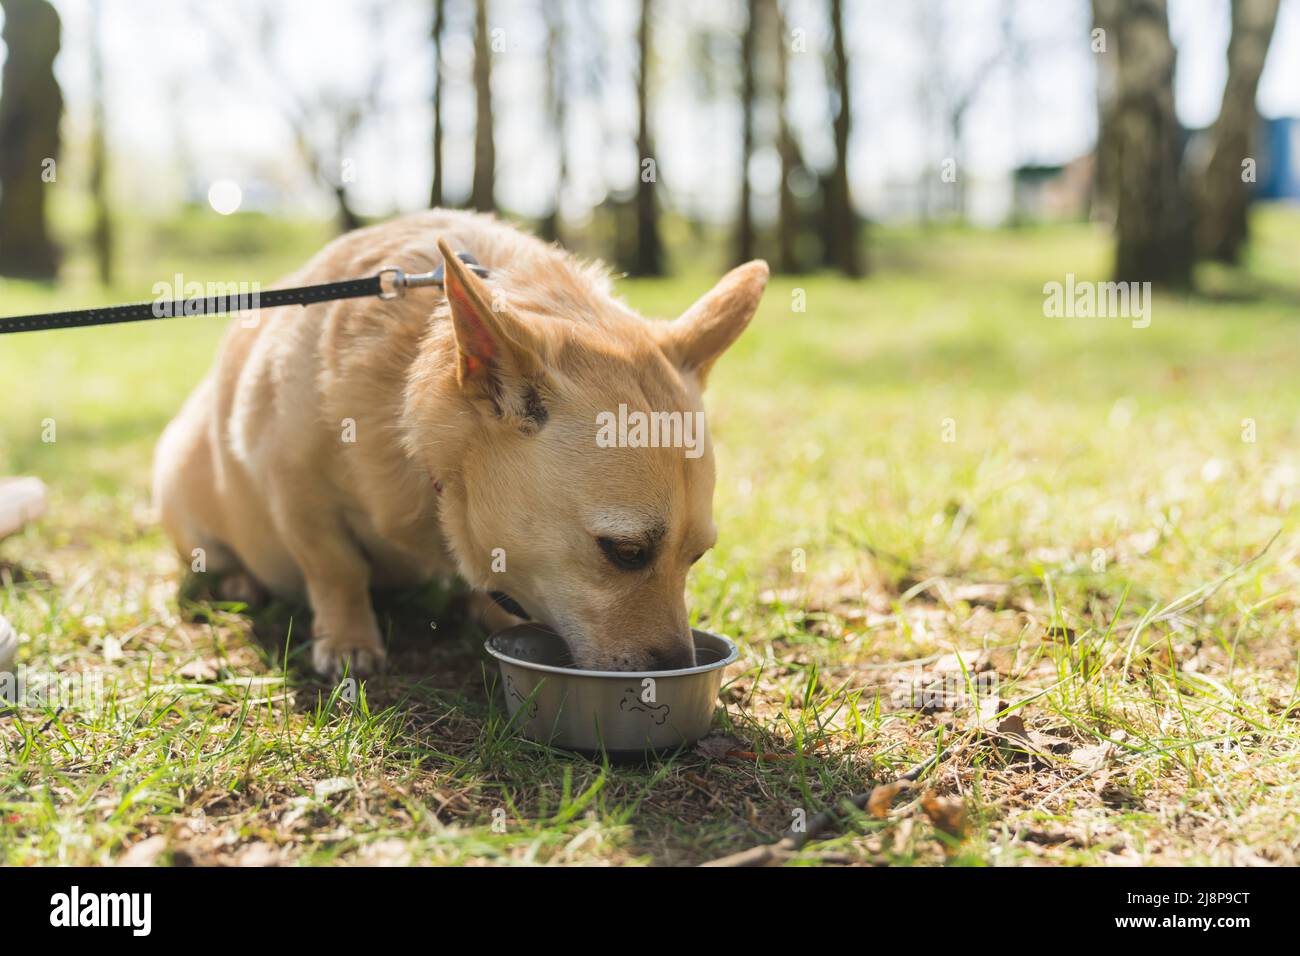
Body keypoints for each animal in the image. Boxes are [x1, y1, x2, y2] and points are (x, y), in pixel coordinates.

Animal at [153, 212, 764, 676]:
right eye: (627, 552)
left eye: (698, 556)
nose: (679, 668)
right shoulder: (294, 488)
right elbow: (337, 569)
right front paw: (349, 641)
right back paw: (237, 580)